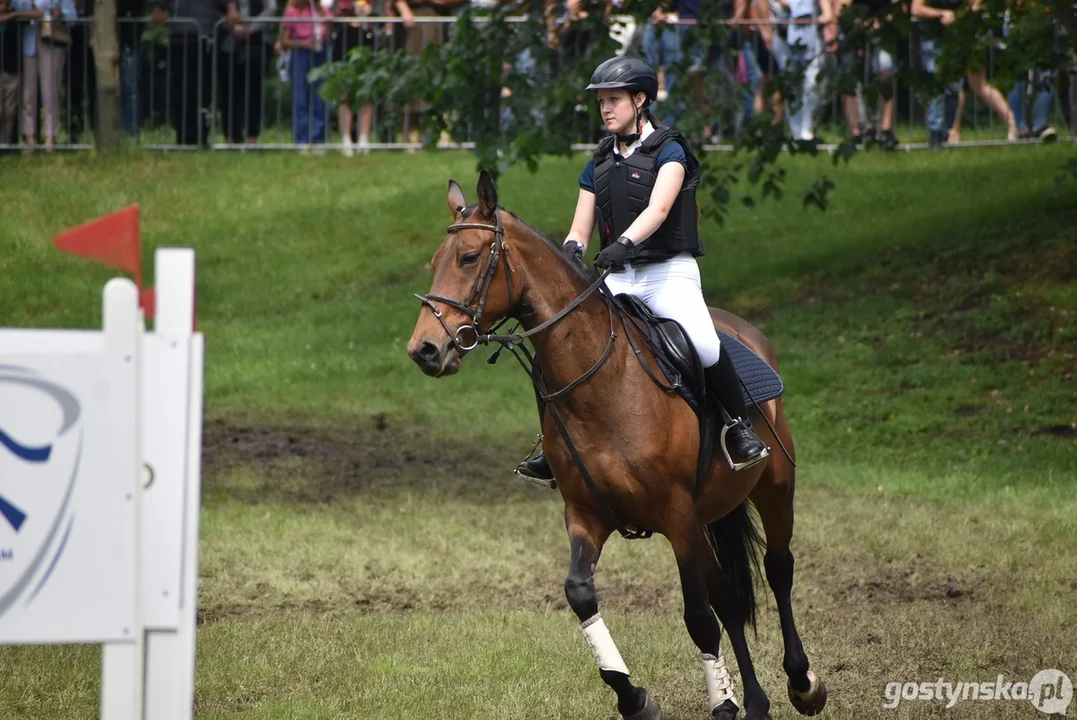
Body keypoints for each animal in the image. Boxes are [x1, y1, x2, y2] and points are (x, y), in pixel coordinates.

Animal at [404, 170, 822, 718]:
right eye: (436, 261)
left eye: (470, 258)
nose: (425, 350)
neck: (602, 385)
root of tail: (746, 331)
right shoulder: (588, 514)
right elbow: (581, 593)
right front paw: (634, 697)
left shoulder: (676, 517)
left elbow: (698, 617)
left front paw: (720, 702)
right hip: (705, 516)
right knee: (730, 597)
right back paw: (754, 701)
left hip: (773, 485)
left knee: (778, 568)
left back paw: (802, 683)